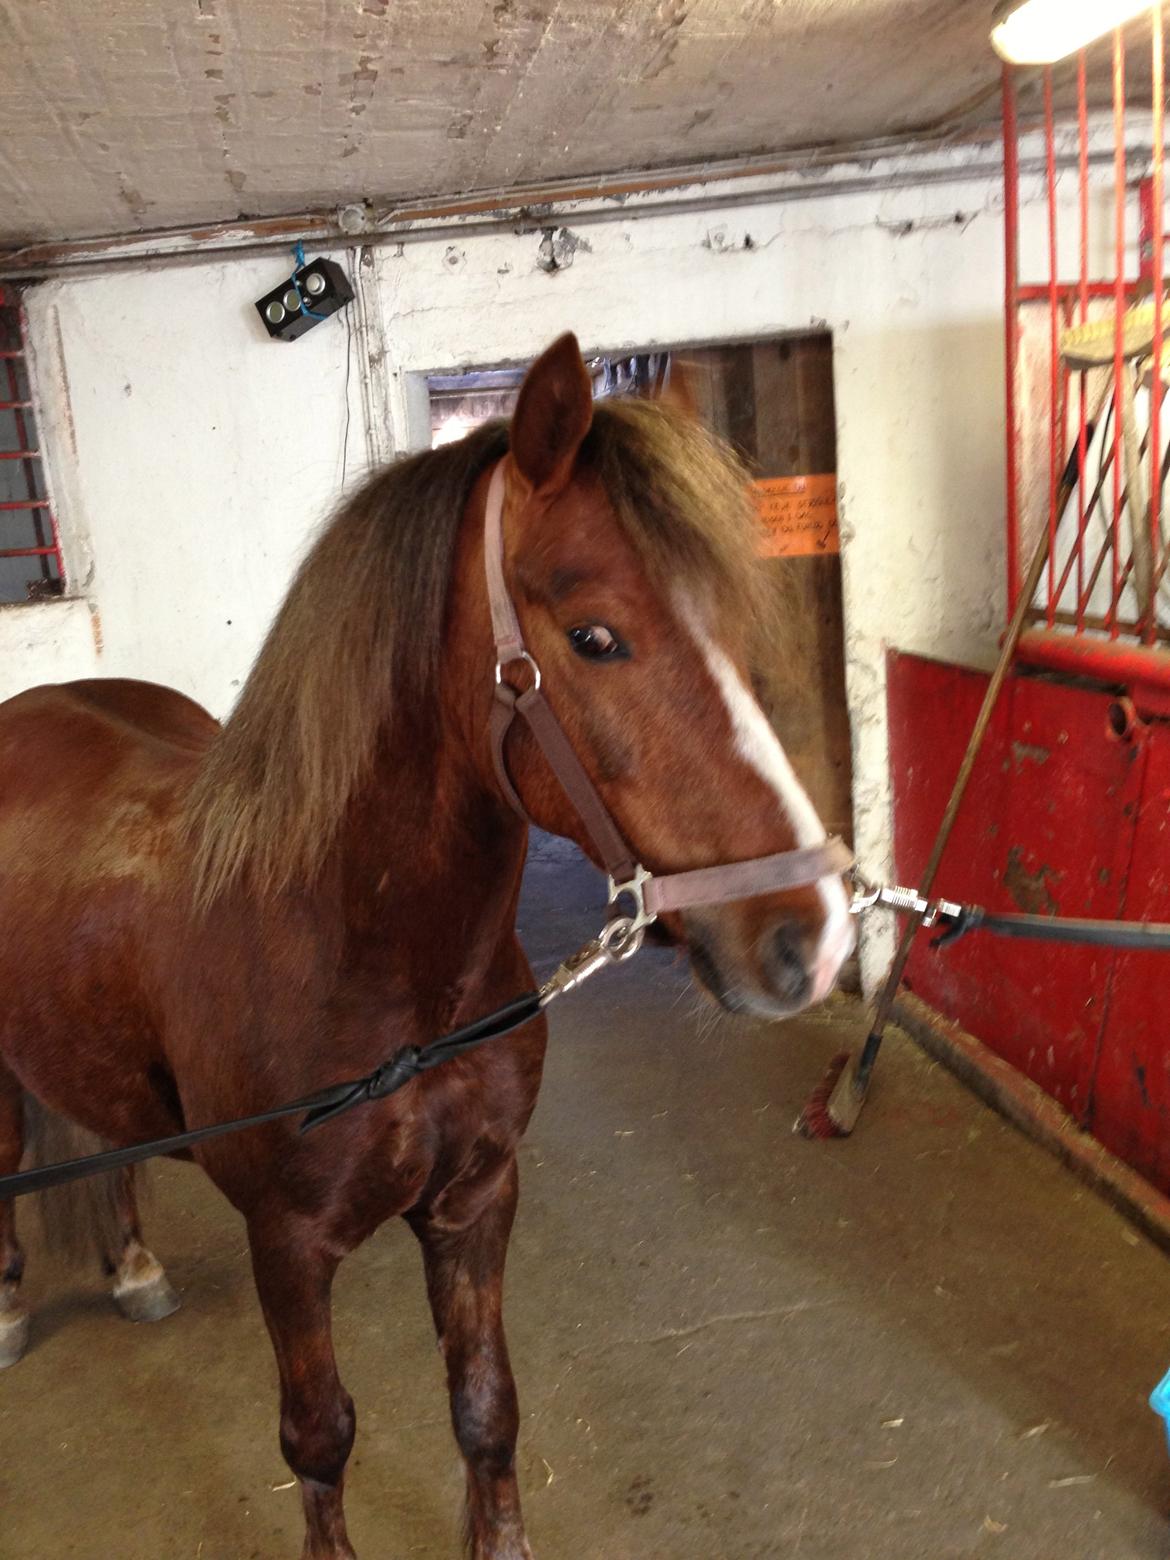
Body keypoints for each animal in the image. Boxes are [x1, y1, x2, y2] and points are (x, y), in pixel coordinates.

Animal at [0, 332, 853, 1559]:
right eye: (595, 637)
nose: (811, 936)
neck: (367, 961)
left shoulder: (477, 1200)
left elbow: (485, 1408)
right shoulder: (287, 1244)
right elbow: (319, 1437)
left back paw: (132, 1267)